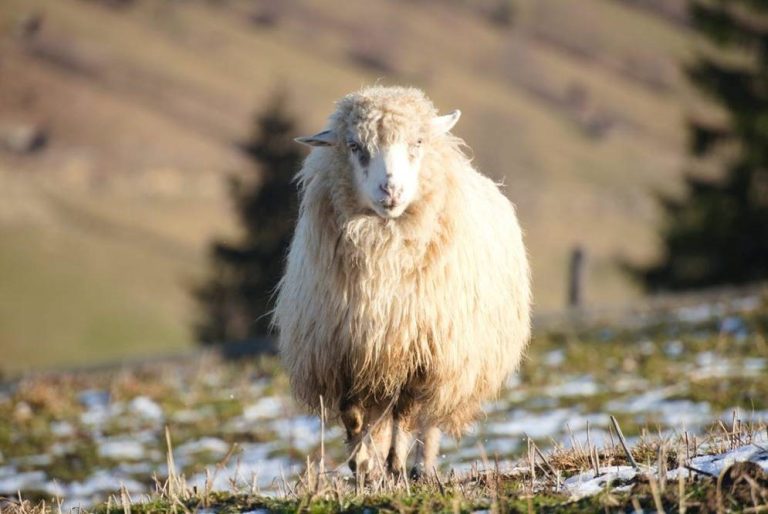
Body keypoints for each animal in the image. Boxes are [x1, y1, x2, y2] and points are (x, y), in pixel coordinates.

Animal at [272, 84, 532, 476]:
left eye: (418, 142)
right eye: (354, 146)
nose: (390, 191)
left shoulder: (422, 355)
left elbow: (406, 415)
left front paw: (395, 463)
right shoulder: (346, 355)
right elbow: (353, 417)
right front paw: (363, 464)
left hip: (451, 362)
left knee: (428, 421)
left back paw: (421, 469)